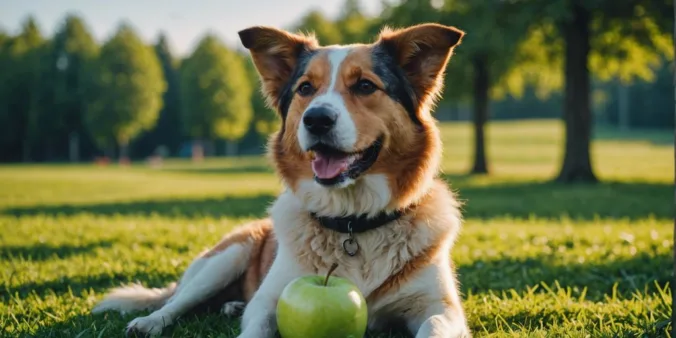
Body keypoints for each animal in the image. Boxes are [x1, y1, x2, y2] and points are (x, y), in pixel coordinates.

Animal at [91, 22, 470, 336]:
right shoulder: (270, 300)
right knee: (177, 302)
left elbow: (433, 326)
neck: (352, 222)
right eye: (305, 88)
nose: (316, 119)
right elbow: (257, 321)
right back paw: (150, 322)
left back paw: (231, 305)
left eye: (365, 85)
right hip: (226, 258)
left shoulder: (441, 309)